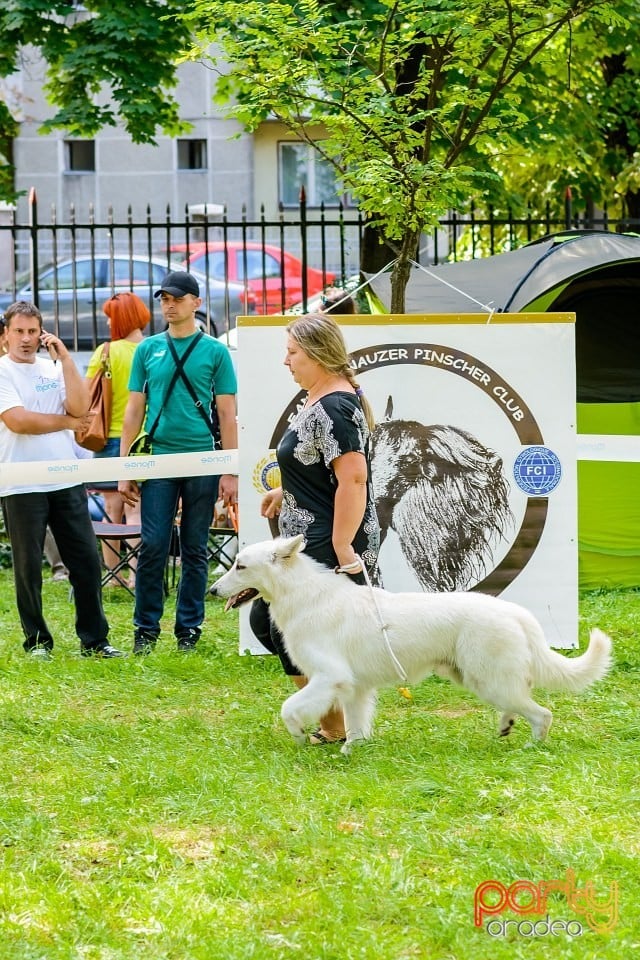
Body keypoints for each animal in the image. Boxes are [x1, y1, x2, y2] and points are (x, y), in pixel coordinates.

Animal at [212, 536, 612, 752]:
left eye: (240, 566)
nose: (213, 591)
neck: (304, 595)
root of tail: (517, 613)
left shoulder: (329, 678)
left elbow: (288, 708)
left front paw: (298, 735)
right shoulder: (354, 688)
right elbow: (355, 726)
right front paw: (351, 751)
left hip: (489, 681)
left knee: (542, 714)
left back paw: (531, 746)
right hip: (483, 681)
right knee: (521, 705)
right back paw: (506, 727)